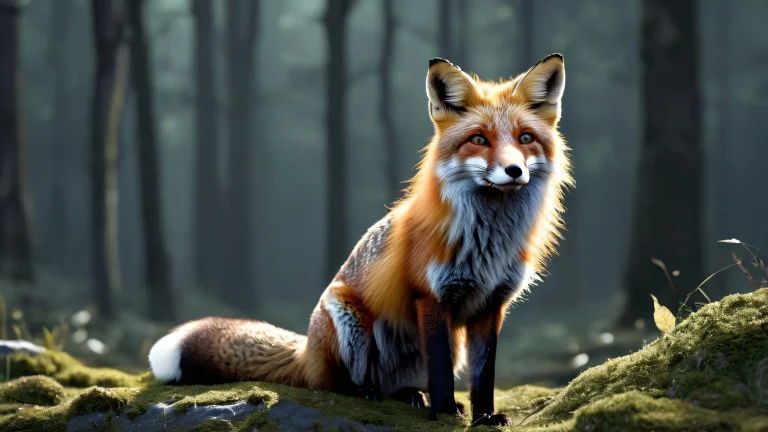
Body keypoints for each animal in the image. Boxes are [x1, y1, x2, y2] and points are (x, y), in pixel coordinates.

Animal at [148, 53, 572, 426]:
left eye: (526, 138)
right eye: (480, 139)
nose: (514, 170)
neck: (487, 244)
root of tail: (306, 350)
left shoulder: (491, 306)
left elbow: (484, 377)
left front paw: (484, 417)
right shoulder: (431, 297)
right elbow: (440, 373)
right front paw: (445, 411)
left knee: (395, 386)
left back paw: (410, 395)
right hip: (349, 322)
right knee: (336, 384)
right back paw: (367, 392)